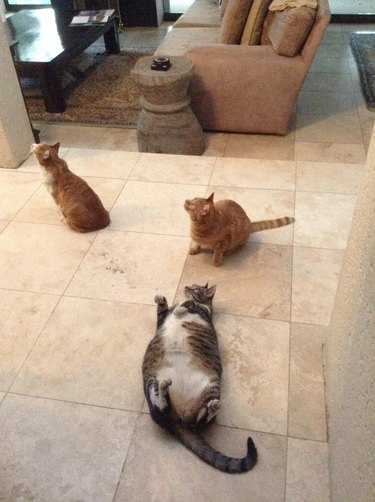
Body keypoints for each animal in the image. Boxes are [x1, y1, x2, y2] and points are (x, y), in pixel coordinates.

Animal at [143, 284, 258, 472]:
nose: (186, 286)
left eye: (195, 288)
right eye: (190, 285)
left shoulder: (202, 311)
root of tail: (180, 422)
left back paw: (213, 407)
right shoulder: (161, 320)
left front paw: (182, 307)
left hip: (211, 388)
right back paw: (165, 388)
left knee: (199, 420)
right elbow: (163, 311)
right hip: (151, 381)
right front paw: (162, 299)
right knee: (164, 407)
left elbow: (189, 306)